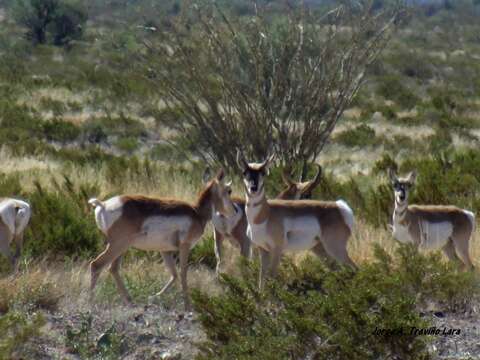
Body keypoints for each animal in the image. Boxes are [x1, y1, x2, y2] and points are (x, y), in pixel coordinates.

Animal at [88, 169, 236, 310]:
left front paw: (153, 297)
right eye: (229, 190)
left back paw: (130, 302)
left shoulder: (165, 251)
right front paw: (188, 307)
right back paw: (91, 302)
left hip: (121, 248)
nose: (234, 210)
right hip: (118, 246)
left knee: (113, 269)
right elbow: (183, 274)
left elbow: (174, 275)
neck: (197, 213)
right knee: (96, 265)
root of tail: (103, 204)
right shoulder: (185, 247)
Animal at [236, 152, 356, 290]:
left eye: (263, 173)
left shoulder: (277, 250)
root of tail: (340, 207)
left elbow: (272, 276)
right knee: (339, 270)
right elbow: (262, 281)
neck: (264, 215)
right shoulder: (263, 250)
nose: (253, 188)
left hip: (335, 249)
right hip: (320, 250)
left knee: (354, 268)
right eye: (244, 172)